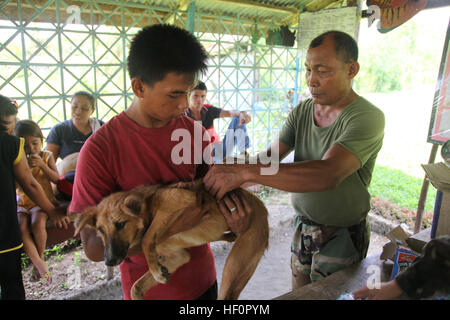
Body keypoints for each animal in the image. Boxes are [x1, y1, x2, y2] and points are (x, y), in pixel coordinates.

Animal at [75, 180, 268, 300]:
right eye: (100, 230)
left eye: (121, 224)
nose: (109, 261)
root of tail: (261, 207)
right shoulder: (178, 257)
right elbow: (135, 288)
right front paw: (157, 271)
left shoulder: (179, 200)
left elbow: (146, 238)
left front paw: (155, 270)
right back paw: (229, 235)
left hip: (233, 266)